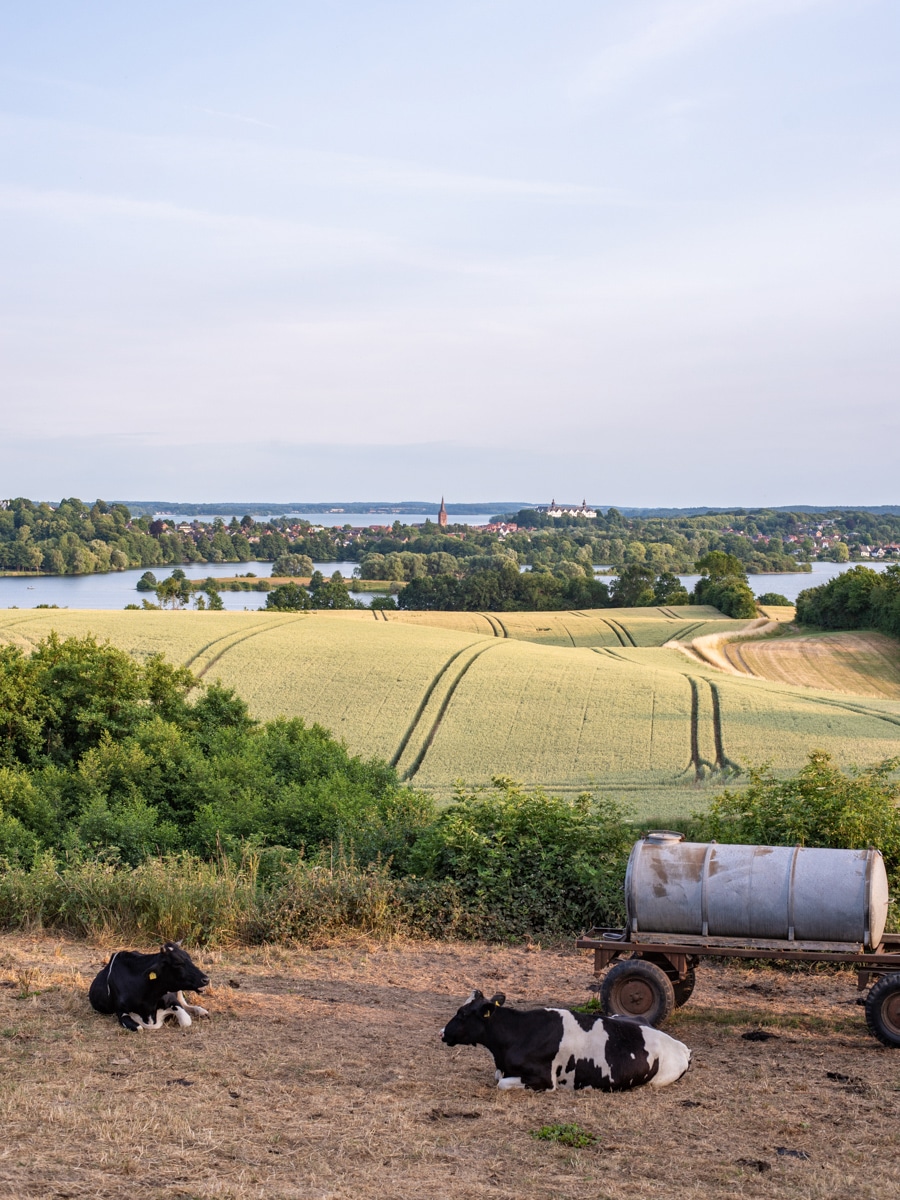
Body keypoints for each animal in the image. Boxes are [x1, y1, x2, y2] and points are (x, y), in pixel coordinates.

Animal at [441, 988, 691, 1094]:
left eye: (462, 1014)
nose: (442, 1032)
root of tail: (683, 1047)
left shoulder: (544, 1079)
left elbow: (501, 1083)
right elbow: (497, 1077)